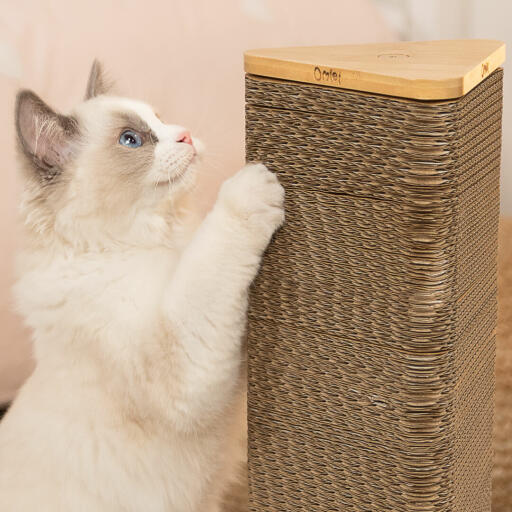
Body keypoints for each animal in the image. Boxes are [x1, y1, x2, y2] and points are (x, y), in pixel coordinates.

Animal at [0, 61, 284, 512]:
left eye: (161, 120)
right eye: (131, 140)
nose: (185, 135)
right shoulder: (184, 361)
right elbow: (213, 253)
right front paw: (253, 181)